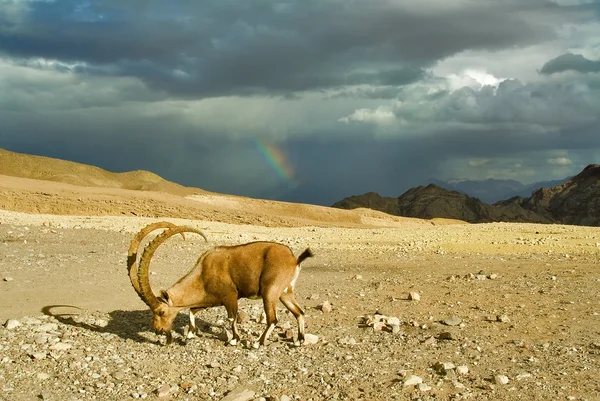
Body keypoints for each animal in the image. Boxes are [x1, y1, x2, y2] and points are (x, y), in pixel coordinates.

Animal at [126, 220, 314, 346]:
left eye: (162, 312)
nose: (158, 330)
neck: (203, 272)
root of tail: (294, 259)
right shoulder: (211, 300)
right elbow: (192, 310)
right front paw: (190, 334)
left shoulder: (230, 297)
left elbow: (232, 318)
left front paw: (234, 340)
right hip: (285, 293)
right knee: (299, 312)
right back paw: (299, 340)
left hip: (270, 292)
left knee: (273, 319)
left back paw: (257, 343)